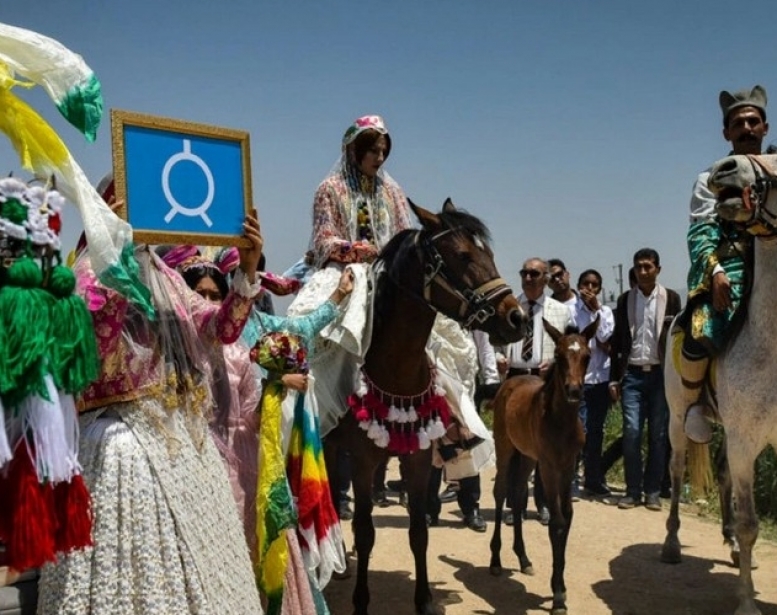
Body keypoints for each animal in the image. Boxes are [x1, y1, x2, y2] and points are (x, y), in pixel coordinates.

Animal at [318, 199, 524, 615]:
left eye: (489, 254)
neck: (397, 368)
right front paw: (361, 601)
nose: (517, 317)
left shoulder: (417, 456)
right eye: (463, 256)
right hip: (331, 445)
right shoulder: (361, 460)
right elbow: (365, 531)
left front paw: (425, 599)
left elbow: (418, 532)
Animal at [488, 318, 596, 615]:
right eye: (558, 356)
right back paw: (496, 561)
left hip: (527, 457)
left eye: (587, 356)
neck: (560, 422)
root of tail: (510, 381)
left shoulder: (567, 466)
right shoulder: (548, 466)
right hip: (505, 448)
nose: (574, 390)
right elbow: (556, 521)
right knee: (501, 493)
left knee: (516, 495)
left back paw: (523, 559)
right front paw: (557, 594)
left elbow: (567, 517)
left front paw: (561, 588)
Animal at [656, 154, 776, 615]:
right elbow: (749, 523)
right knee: (675, 471)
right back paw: (671, 543)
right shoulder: (745, 438)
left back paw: (733, 547)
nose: (724, 168)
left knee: (723, 475)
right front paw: (746, 602)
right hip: (677, 417)